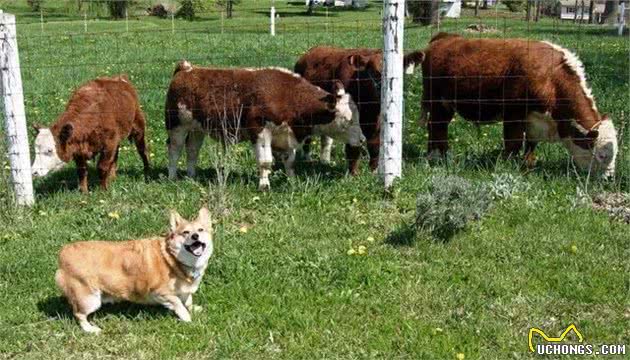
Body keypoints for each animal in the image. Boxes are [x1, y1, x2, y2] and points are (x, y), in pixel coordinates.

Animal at [55, 207, 212, 334]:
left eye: (200, 230)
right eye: (186, 232)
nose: (195, 236)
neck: (173, 258)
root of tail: (63, 252)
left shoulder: (185, 290)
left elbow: (187, 300)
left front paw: (193, 308)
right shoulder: (159, 293)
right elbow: (178, 303)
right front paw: (186, 317)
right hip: (90, 299)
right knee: (79, 314)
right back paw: (90, 329)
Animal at [163, 61, 366, 191]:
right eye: (348, 119)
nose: (363, 140)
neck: (288, 96)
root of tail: (187, 69)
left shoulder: (286, 136)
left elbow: (289, 161)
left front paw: (292, 180)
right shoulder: (260, 133)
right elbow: (265, 161)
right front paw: (264, 185)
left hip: (197, 129)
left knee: (192, 150)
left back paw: (191, 175)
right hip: (177, 126)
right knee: (174, 150)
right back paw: (173, 177)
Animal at [296, 45, 424, 175]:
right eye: (373, 71)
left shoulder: (377, 123)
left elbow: (374, 146)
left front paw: (374, 171)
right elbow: (353, 148)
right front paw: (353, 174)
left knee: (326, 139)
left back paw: (325, 161)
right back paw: (307, 158)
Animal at [422, 33, 620, 178]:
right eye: (602, 155)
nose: (609, 178)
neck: (551, 79)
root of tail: (444, 38)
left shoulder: (534, 119)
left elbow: (531, 144)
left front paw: (528, 166)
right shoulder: (513, 113)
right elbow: (513, 143)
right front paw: (505, 165)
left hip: (445, 106)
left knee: (437, 127)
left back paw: (439, 154)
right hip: (437, 103)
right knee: (437, 127)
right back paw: (438, 156)